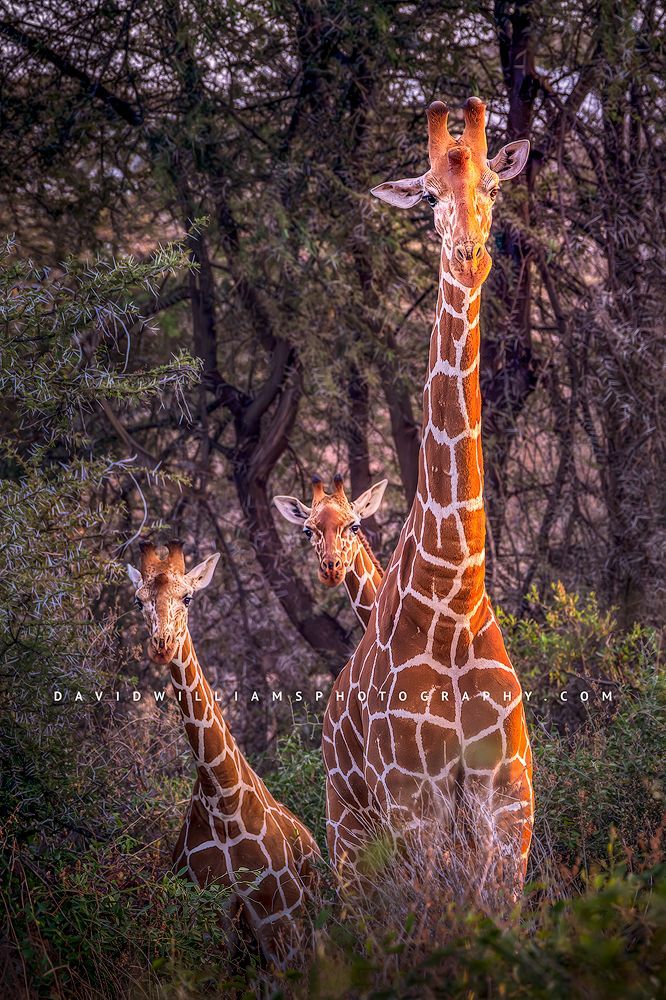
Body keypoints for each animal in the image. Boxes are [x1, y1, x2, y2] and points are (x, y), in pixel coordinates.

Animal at [126, 539, 320, 966]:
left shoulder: (280, 913)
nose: (162, 647)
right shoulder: (209, 912)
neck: (223, 799)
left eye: (188, 597)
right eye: (139, 600)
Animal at [322, 98, 534, 902]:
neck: (453, 589)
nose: (471, 253)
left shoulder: (508, 803)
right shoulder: (414, 806)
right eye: (430, 197)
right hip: (349, 834)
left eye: (493, 188)